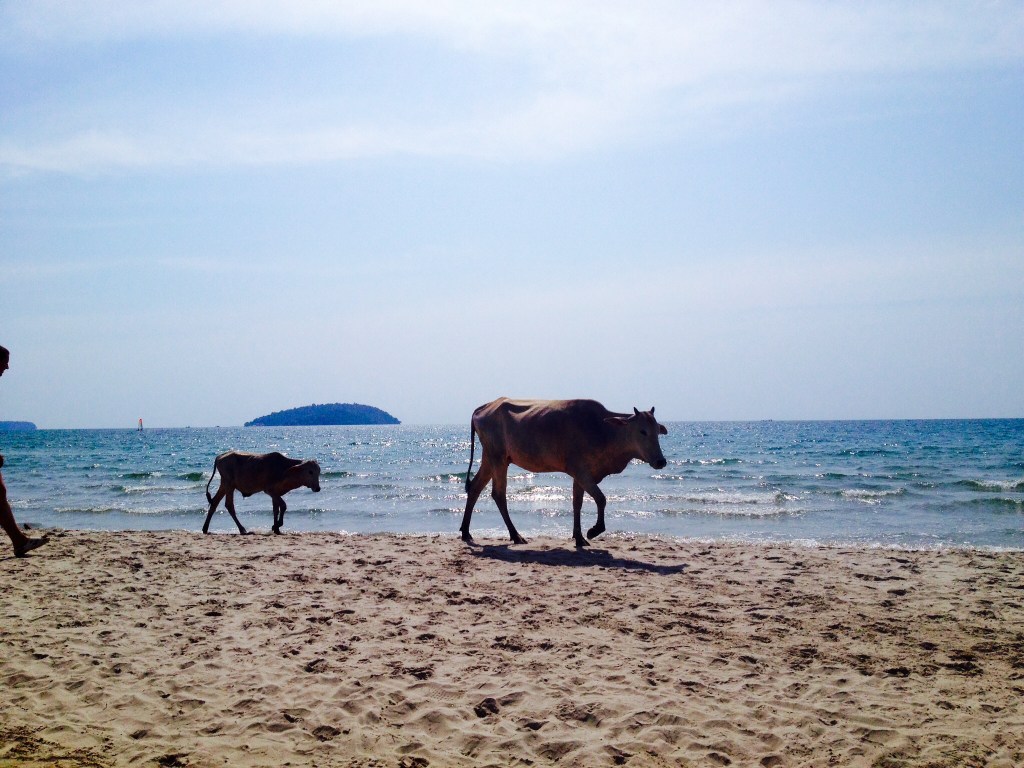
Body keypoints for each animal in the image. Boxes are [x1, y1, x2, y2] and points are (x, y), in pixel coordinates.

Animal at [460, 398, 669, 548]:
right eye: (642, 431)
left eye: (657, 431)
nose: (661, 461)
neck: (603, 431)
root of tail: (483, 408)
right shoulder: (581, 471)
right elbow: (601, 499)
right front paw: (593, 531)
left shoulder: (581, 475)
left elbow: (577, 503)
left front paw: (579, 537)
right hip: (498, 458)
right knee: (498, 494)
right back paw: (515, 535)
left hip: (490, 458)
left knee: (475, 487)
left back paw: (466, 532)